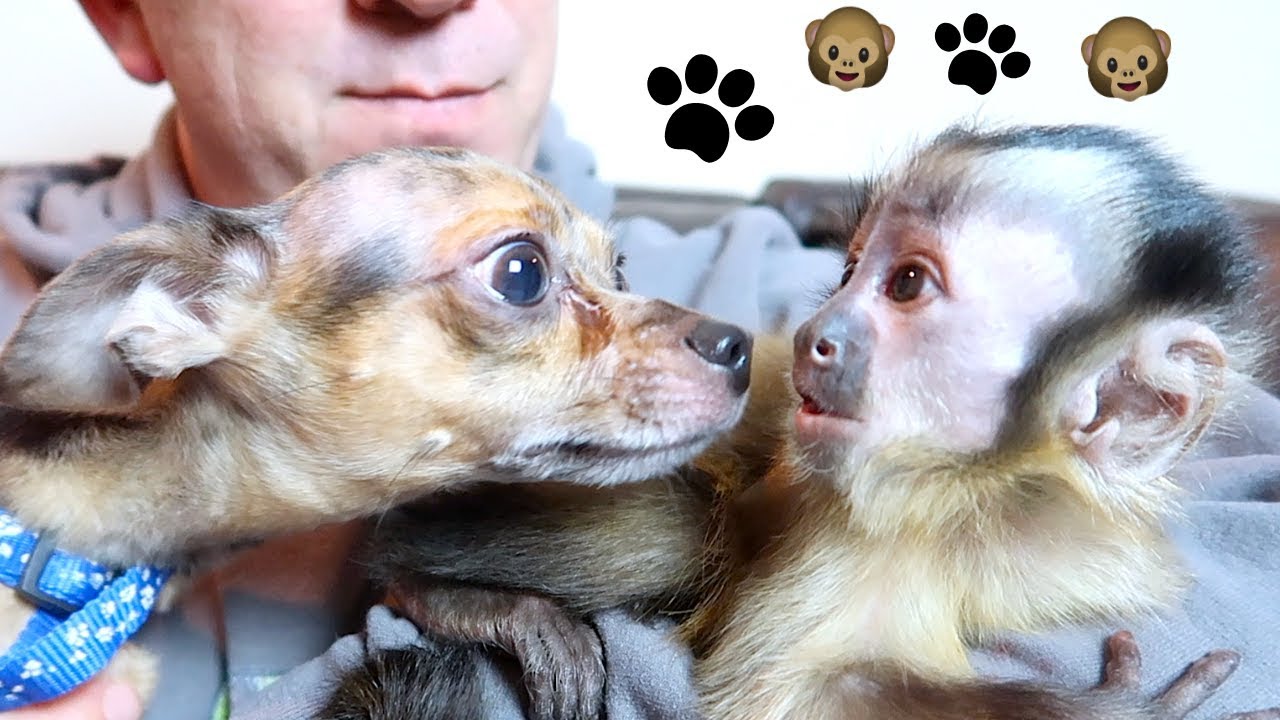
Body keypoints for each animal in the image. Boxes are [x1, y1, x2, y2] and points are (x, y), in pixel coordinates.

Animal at [324, 125, 1280, 720]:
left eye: (905, 285)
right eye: (850, 269)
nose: (820, 334)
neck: (989, 494)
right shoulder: (856, 535)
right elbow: (777, 693)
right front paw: (1113, 712)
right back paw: (439, 590)